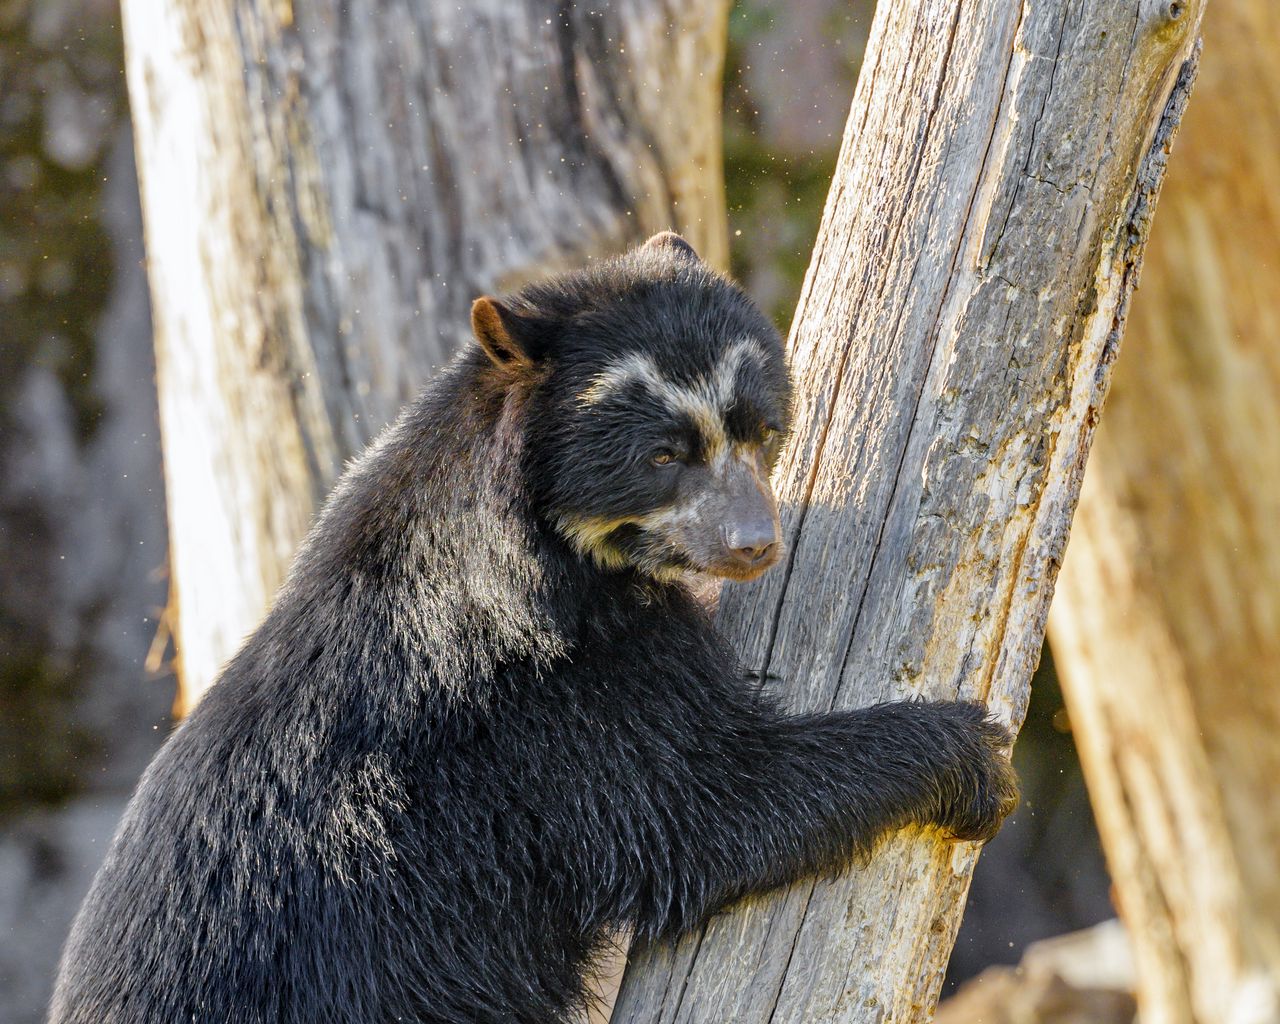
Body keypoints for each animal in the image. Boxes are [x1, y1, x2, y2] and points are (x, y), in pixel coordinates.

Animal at [49, 234, 1013, 1024]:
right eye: (664, 455)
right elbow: (705, 800)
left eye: (759, 428)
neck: (548, 552)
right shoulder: (548, 707)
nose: (754, 544)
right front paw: (973, 758)